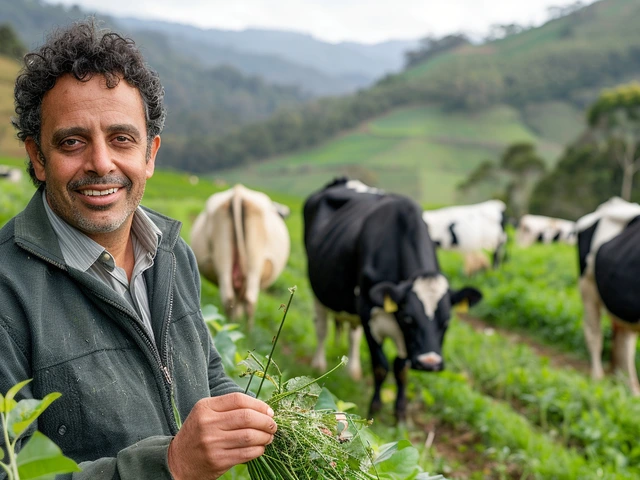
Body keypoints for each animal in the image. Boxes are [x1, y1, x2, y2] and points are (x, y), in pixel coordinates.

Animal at [190, 185, 290, 330]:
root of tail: (238, 192)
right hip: (254, 262)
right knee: (249, 300)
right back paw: (248, 331)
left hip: (223, 255)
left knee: (229, 297)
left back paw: (230, 325)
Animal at [304, 178, 480, 422]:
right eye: (409, 318)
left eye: (446, 321)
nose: (429, 363)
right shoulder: (368, 313)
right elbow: (381, 366)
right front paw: (374, 410)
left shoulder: (406, 340)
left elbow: (401, 370)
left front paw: (400, 414)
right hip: (318, 289)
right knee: (321, 328)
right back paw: (318, 364)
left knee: (352, 337)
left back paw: (353, 371)